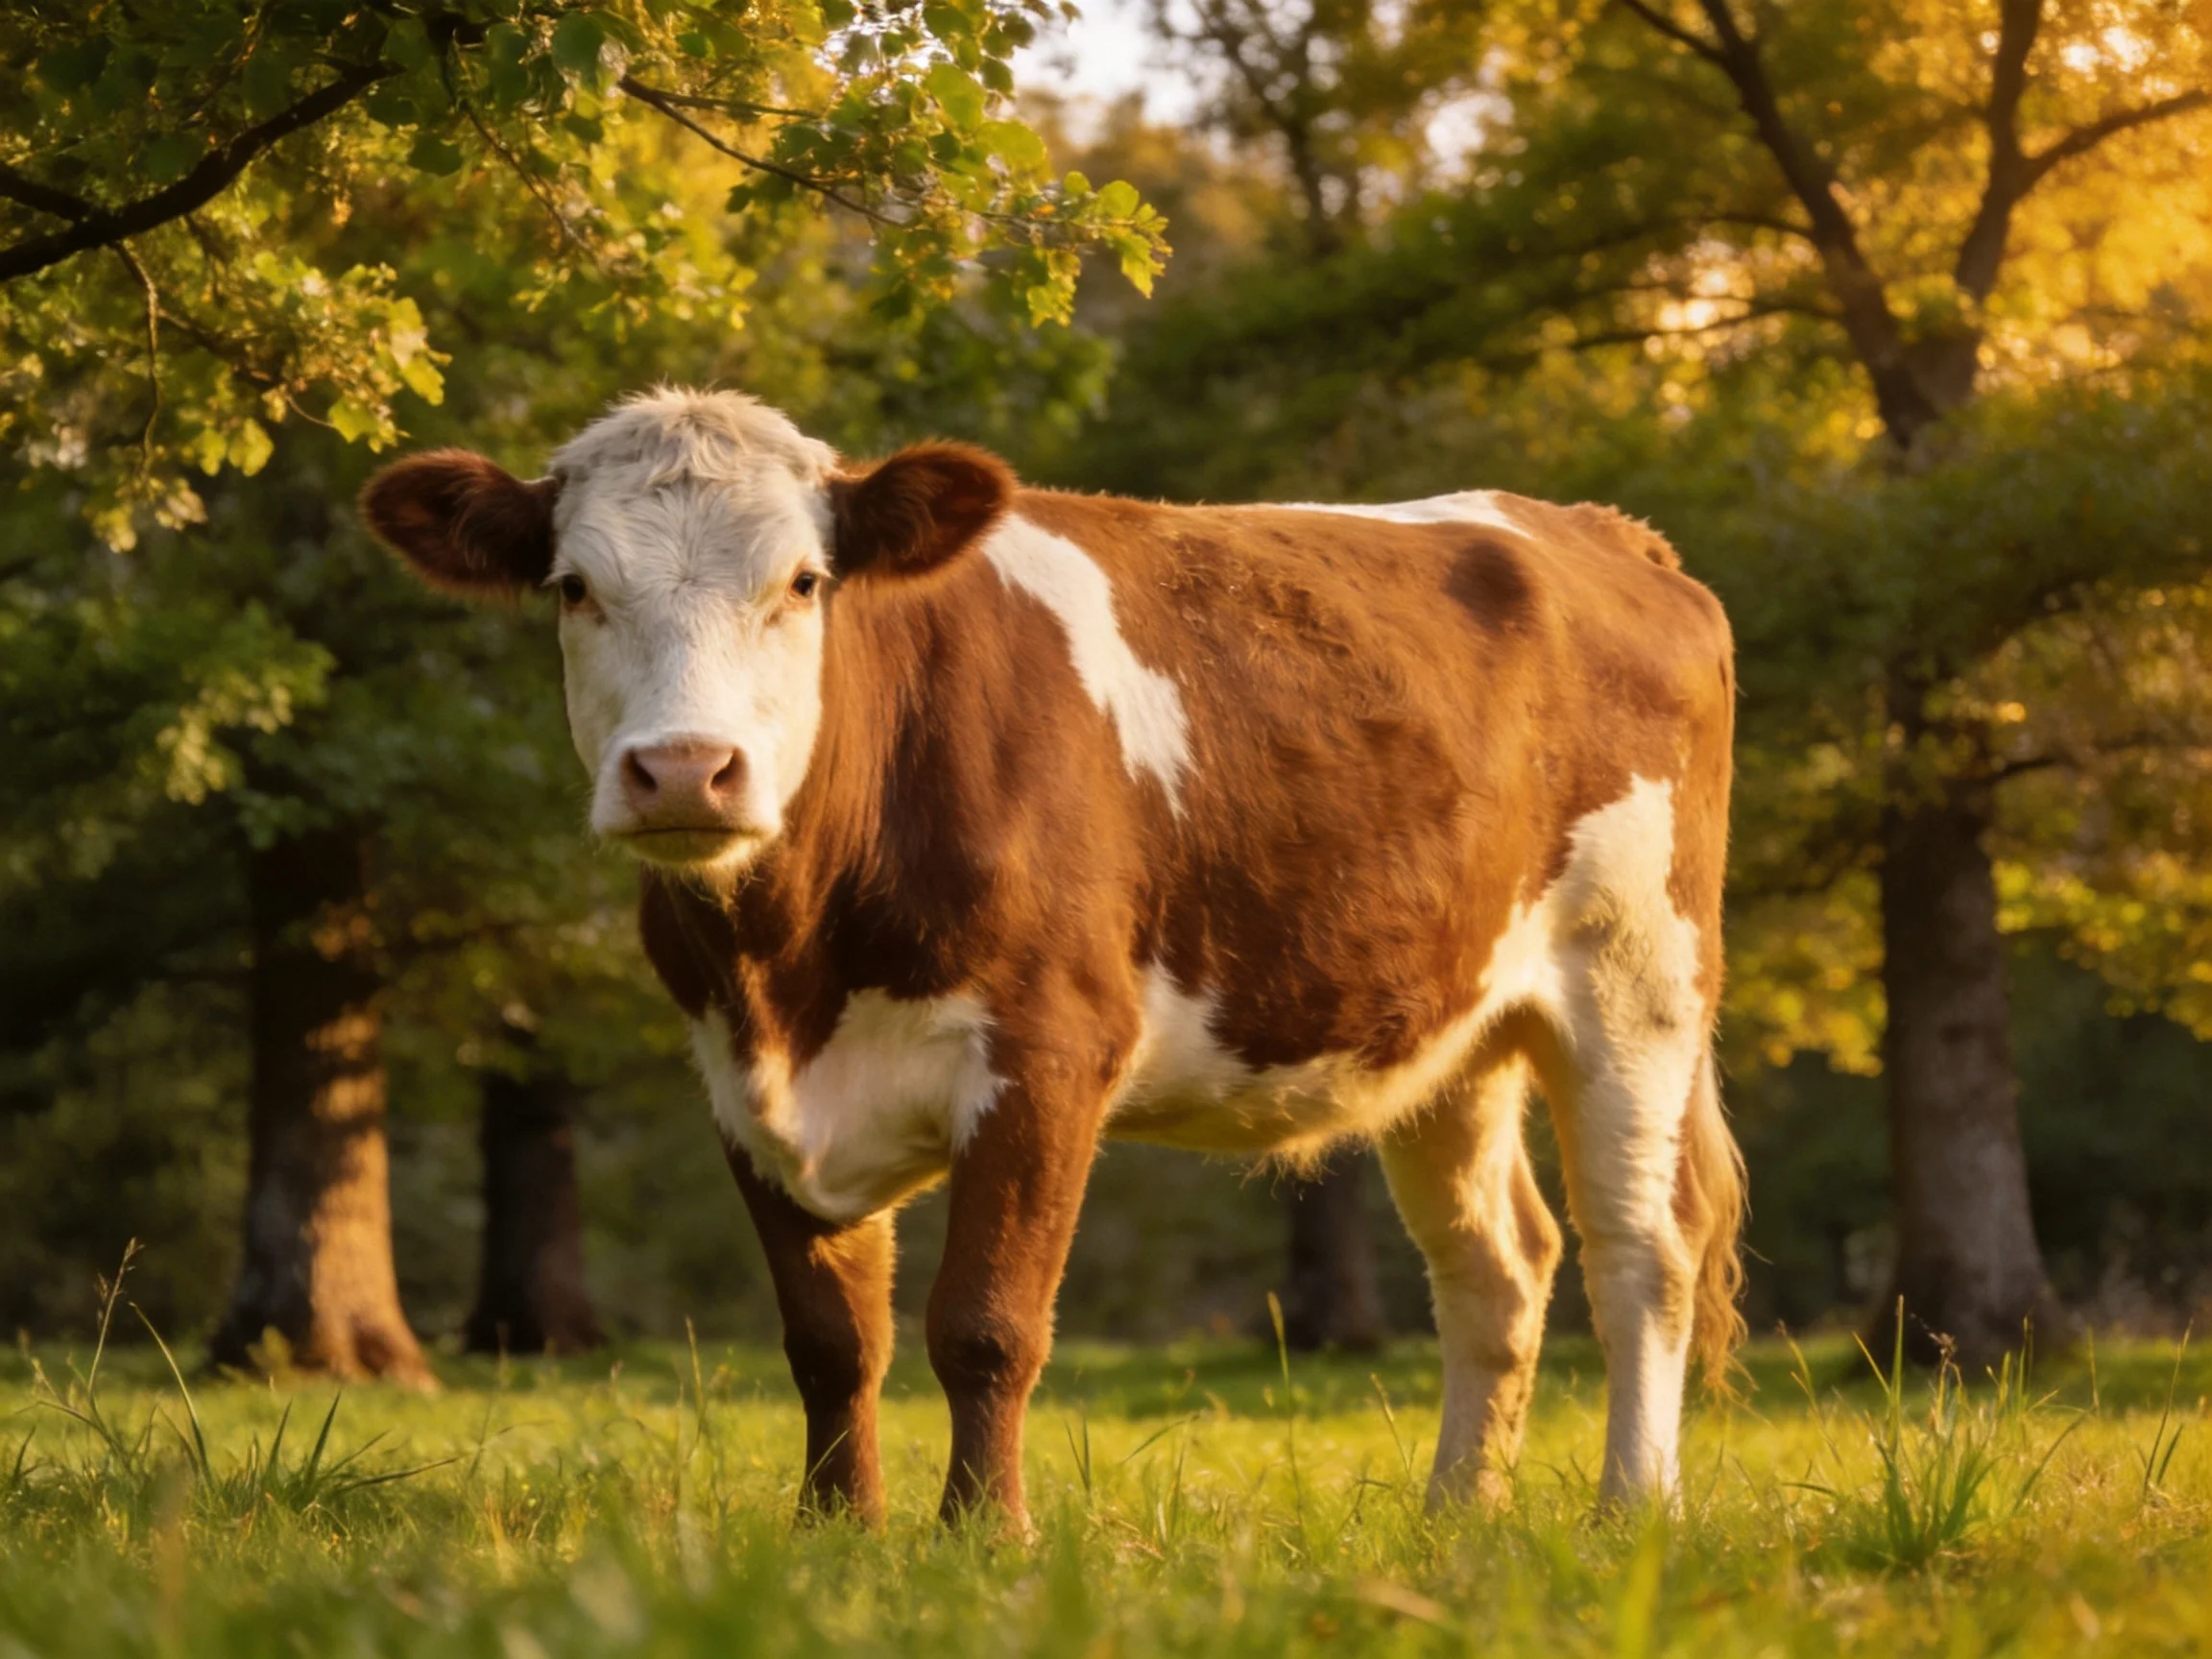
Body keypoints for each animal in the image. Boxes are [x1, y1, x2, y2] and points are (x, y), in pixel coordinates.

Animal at [362, 388, 1745, 1528]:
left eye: (804, 581)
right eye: (572, 587)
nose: (686, 770)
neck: (793, 966)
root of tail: (1596, 531)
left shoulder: (1048, 1051)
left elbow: (986, 1325)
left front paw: (985, 1535)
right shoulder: (738, 1084)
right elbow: (830, 1340)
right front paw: (836, 1534)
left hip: (1637, 981)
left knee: (1641, 1247)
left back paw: (1634, 1510)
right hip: (1450, 1029)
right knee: (1497, 1265)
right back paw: (1455, 1516)